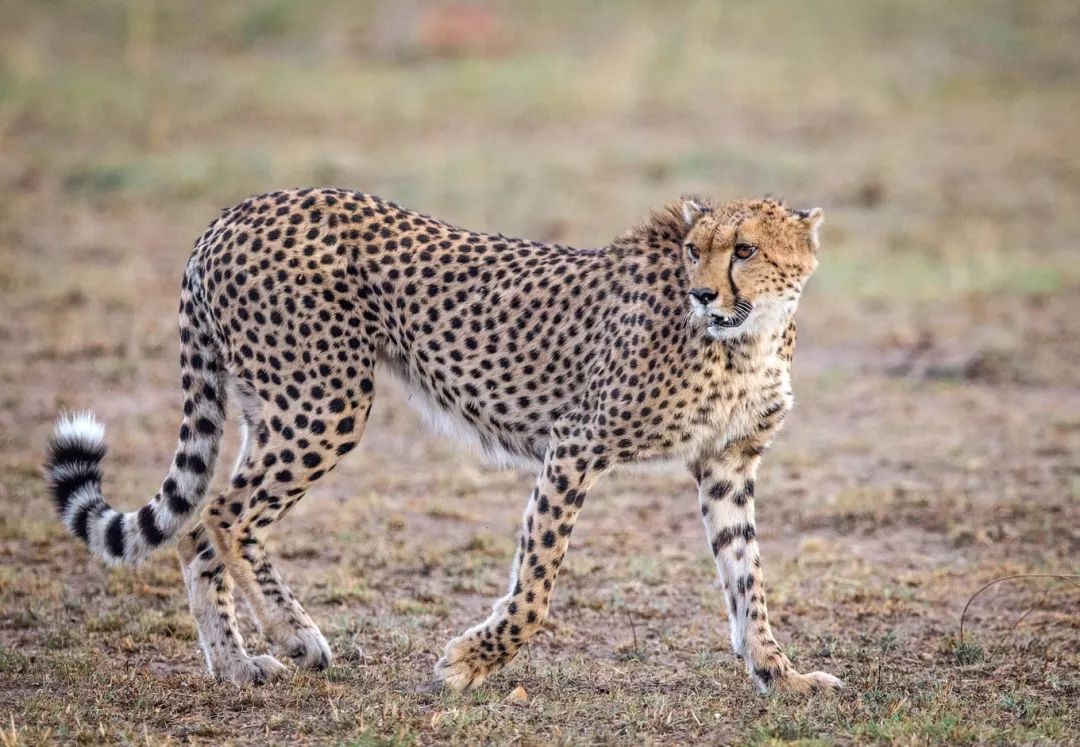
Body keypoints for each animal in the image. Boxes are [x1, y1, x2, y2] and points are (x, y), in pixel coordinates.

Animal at [44, 187, 842, 695]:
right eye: (694, 250)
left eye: (745, 250)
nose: (704, 293)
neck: (746, 339)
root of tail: (234, 213)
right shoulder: (574, 446)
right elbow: (536, 589)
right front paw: (468, 662)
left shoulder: (726, 464)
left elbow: (747, 579)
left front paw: (780, 673)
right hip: (324, 403)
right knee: (225, 516)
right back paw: (296, 637)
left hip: (272, 410)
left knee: (197, 529)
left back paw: (238, 666)